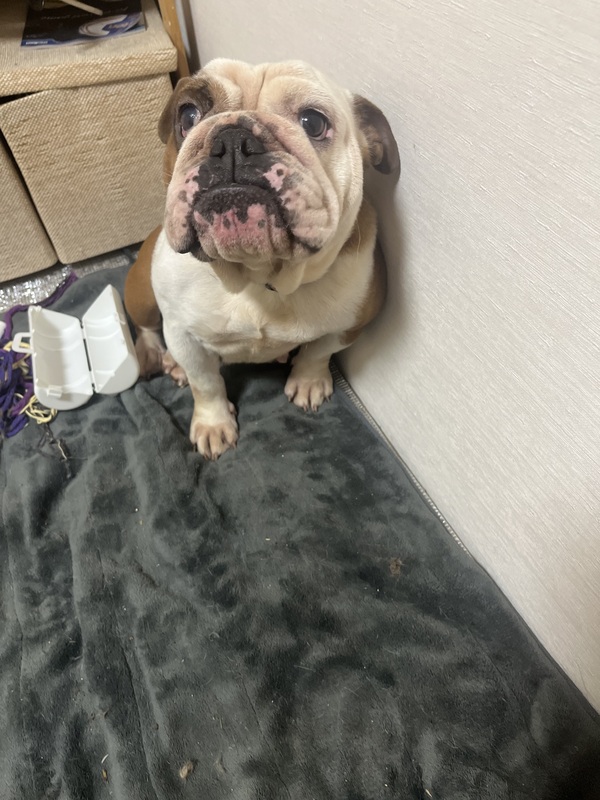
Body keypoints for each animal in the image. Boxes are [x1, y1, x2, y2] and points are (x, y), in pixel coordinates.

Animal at [124, 58, 399, 459]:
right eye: (188, 115)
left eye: (313, 122)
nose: (233, 140)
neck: (256, 272)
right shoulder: (181, 332)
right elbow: (205, 382)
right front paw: (213, 423)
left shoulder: (351, 323)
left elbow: (319, 351)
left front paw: (308, 381)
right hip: (142, 291)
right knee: (146, 326)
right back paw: (159, 358)